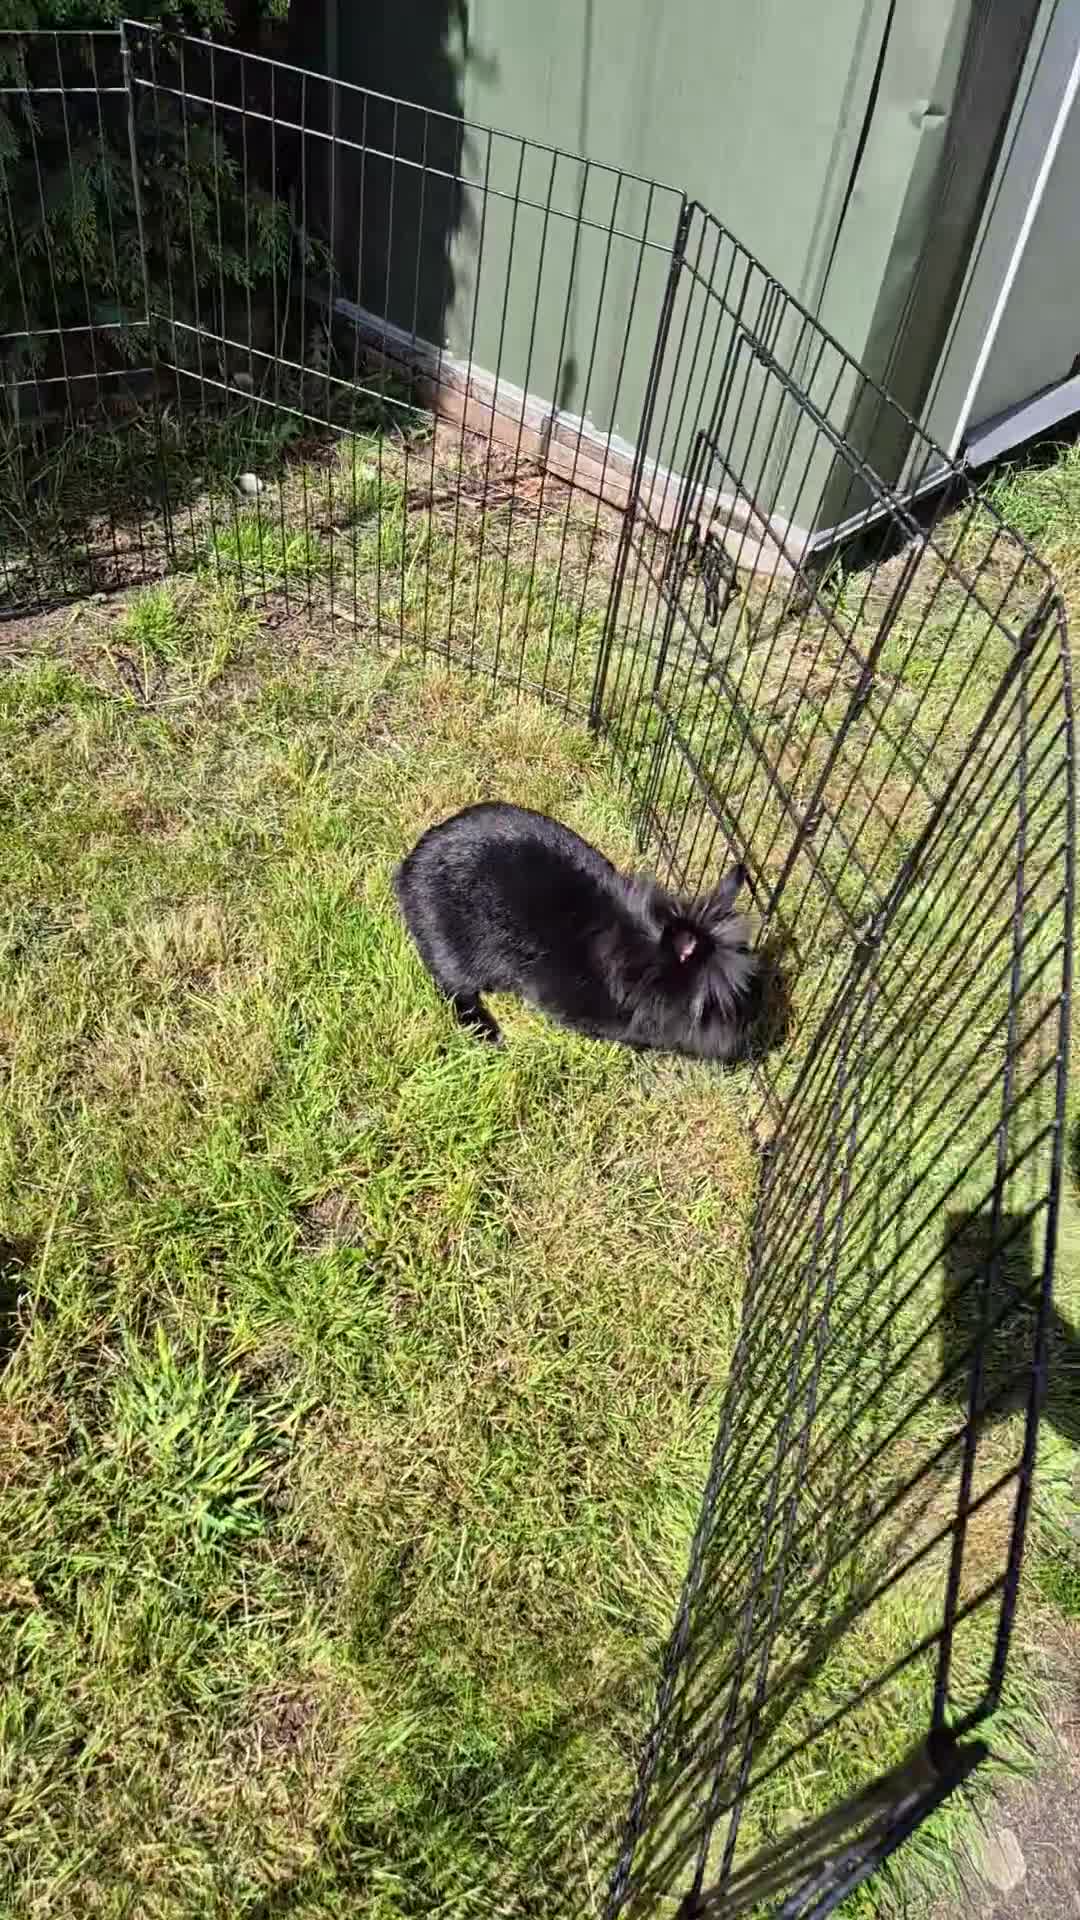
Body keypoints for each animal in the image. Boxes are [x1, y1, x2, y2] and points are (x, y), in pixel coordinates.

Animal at [394, 801, 760, 1058]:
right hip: (450, 948)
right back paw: (490, 1035)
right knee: (454, 990)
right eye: (712, 1006)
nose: (749, 1031)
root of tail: (409, 869)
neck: (638, 961)